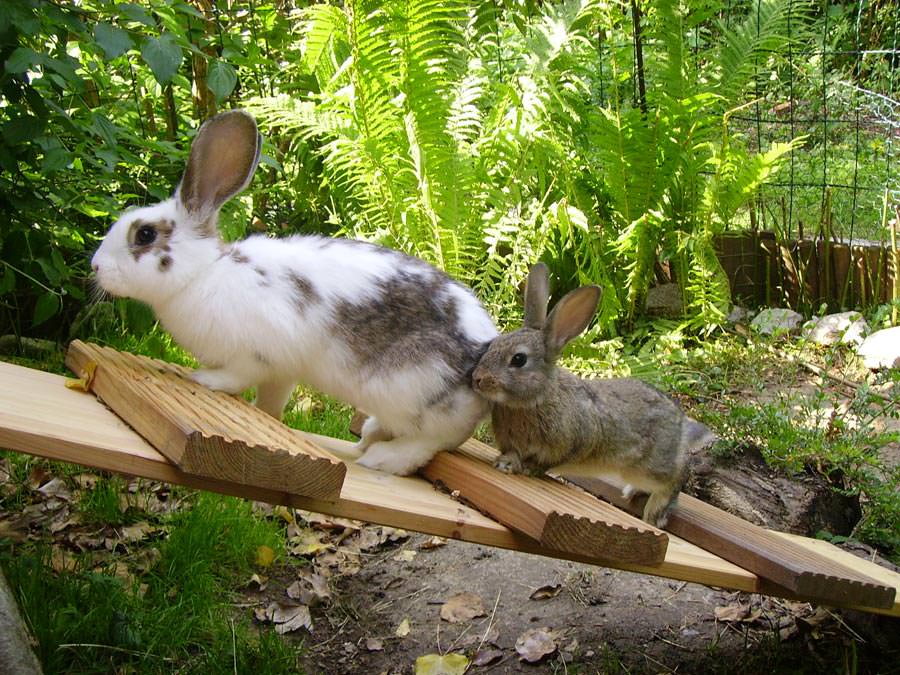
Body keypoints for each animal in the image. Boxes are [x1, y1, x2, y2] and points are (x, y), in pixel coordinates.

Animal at [90, 109, 499, 476]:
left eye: (145, 234)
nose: (95, 266)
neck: (203, 273)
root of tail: (484, 356)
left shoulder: (258, 352)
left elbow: (237, 375)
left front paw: (206, 381)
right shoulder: (282, 373)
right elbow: (271, 402)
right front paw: (265, 416)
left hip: (412, 393)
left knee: (432, 442)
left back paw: (382, 459)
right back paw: (368, 438)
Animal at [471, 263, 714, 527]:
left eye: (518, 359)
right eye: (492, 345)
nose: (477, 379)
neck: (535, 399)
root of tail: (680, 424)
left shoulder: (573, 443)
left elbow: (542, 463)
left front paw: (516, 467)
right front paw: (506, 462)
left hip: (651, 466)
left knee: (677, 475)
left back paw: (654, 512)